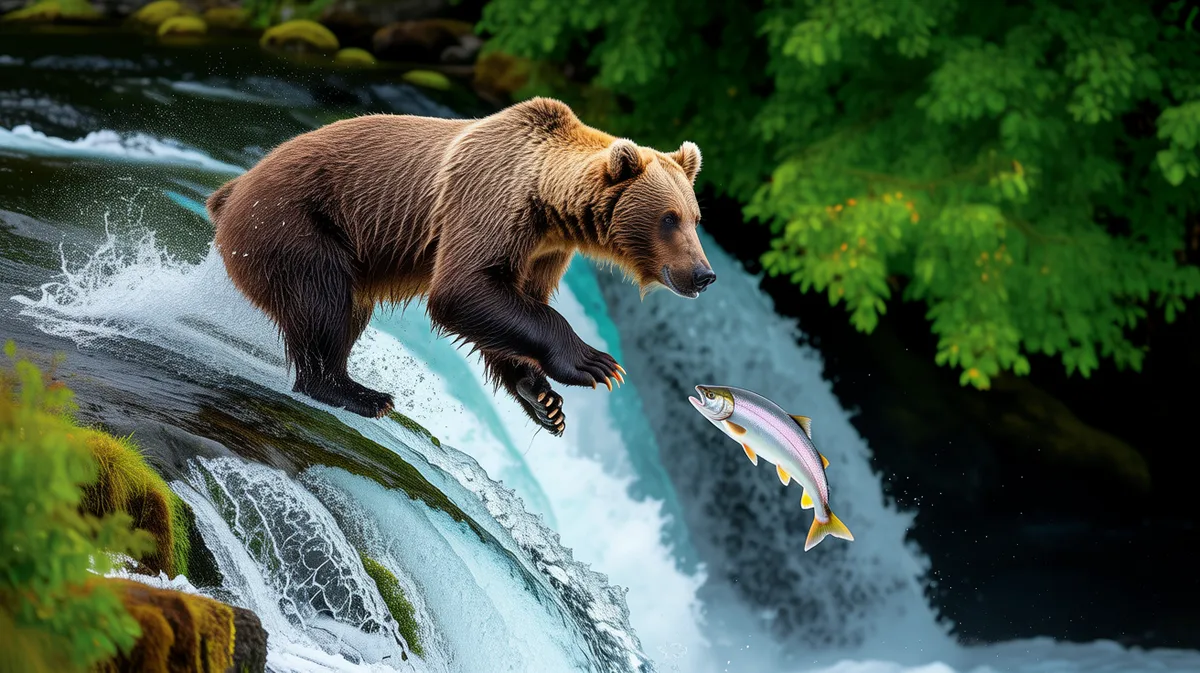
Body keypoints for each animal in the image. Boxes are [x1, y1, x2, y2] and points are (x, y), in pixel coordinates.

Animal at [207, 97, 715, 435]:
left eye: (694, 217)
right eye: (668, 218)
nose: (703, 274)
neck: (550, 207)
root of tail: (231, 189)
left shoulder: (543, 251)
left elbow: (510, 307)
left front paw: (544, 401)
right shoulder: (491, 203)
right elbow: (463, 290)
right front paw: (594, 363)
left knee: (347, 307)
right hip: (295, 223)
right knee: (322, 300)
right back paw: (357, 392)